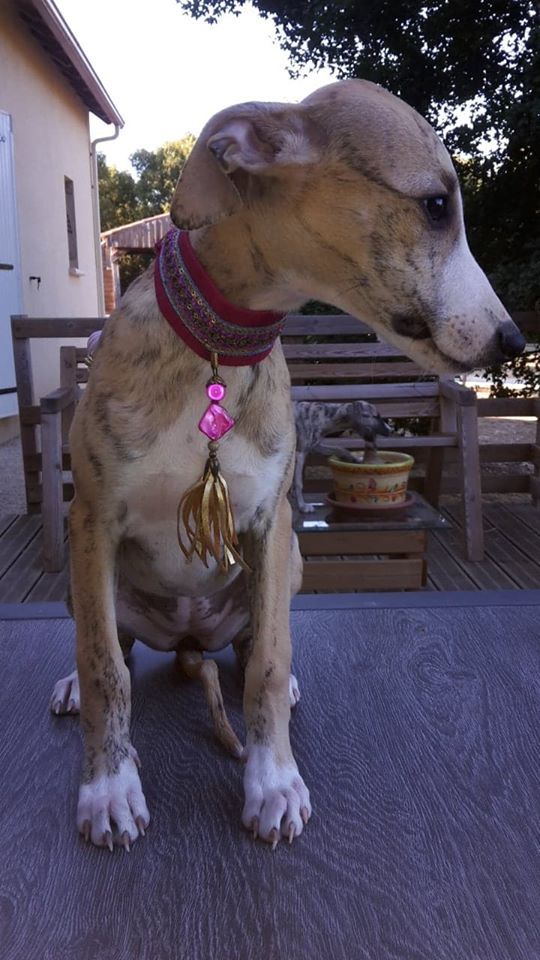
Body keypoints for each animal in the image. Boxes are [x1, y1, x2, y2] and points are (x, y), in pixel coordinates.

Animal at [50, 78, 524, 851]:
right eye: (435, 205)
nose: (513, 342)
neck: (216, 350)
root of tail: (188, 641)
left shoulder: (269, 525)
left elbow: (269, 663)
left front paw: (272, 783)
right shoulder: (94, 518)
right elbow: (104, 668)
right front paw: (109, 787)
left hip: (291, 562)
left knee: (251, 648)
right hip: (79, 567)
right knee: (112, 639)